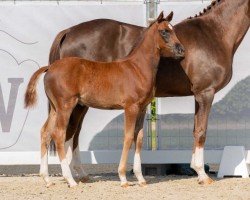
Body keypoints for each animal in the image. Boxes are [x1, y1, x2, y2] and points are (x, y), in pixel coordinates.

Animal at [24, 12, 184, 188]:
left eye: (173, 30)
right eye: (164, 31)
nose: (181, 50)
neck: (137, 68)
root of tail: (50, 67)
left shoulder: (142, 108)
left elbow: (139, 138)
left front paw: (141, 178)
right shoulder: (131, 107)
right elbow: (128, 137)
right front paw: (123, 178)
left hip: (55, 108)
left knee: (45, 132)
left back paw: (46, 179)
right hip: (66, 106)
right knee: (59, 134)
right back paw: (70, 180)